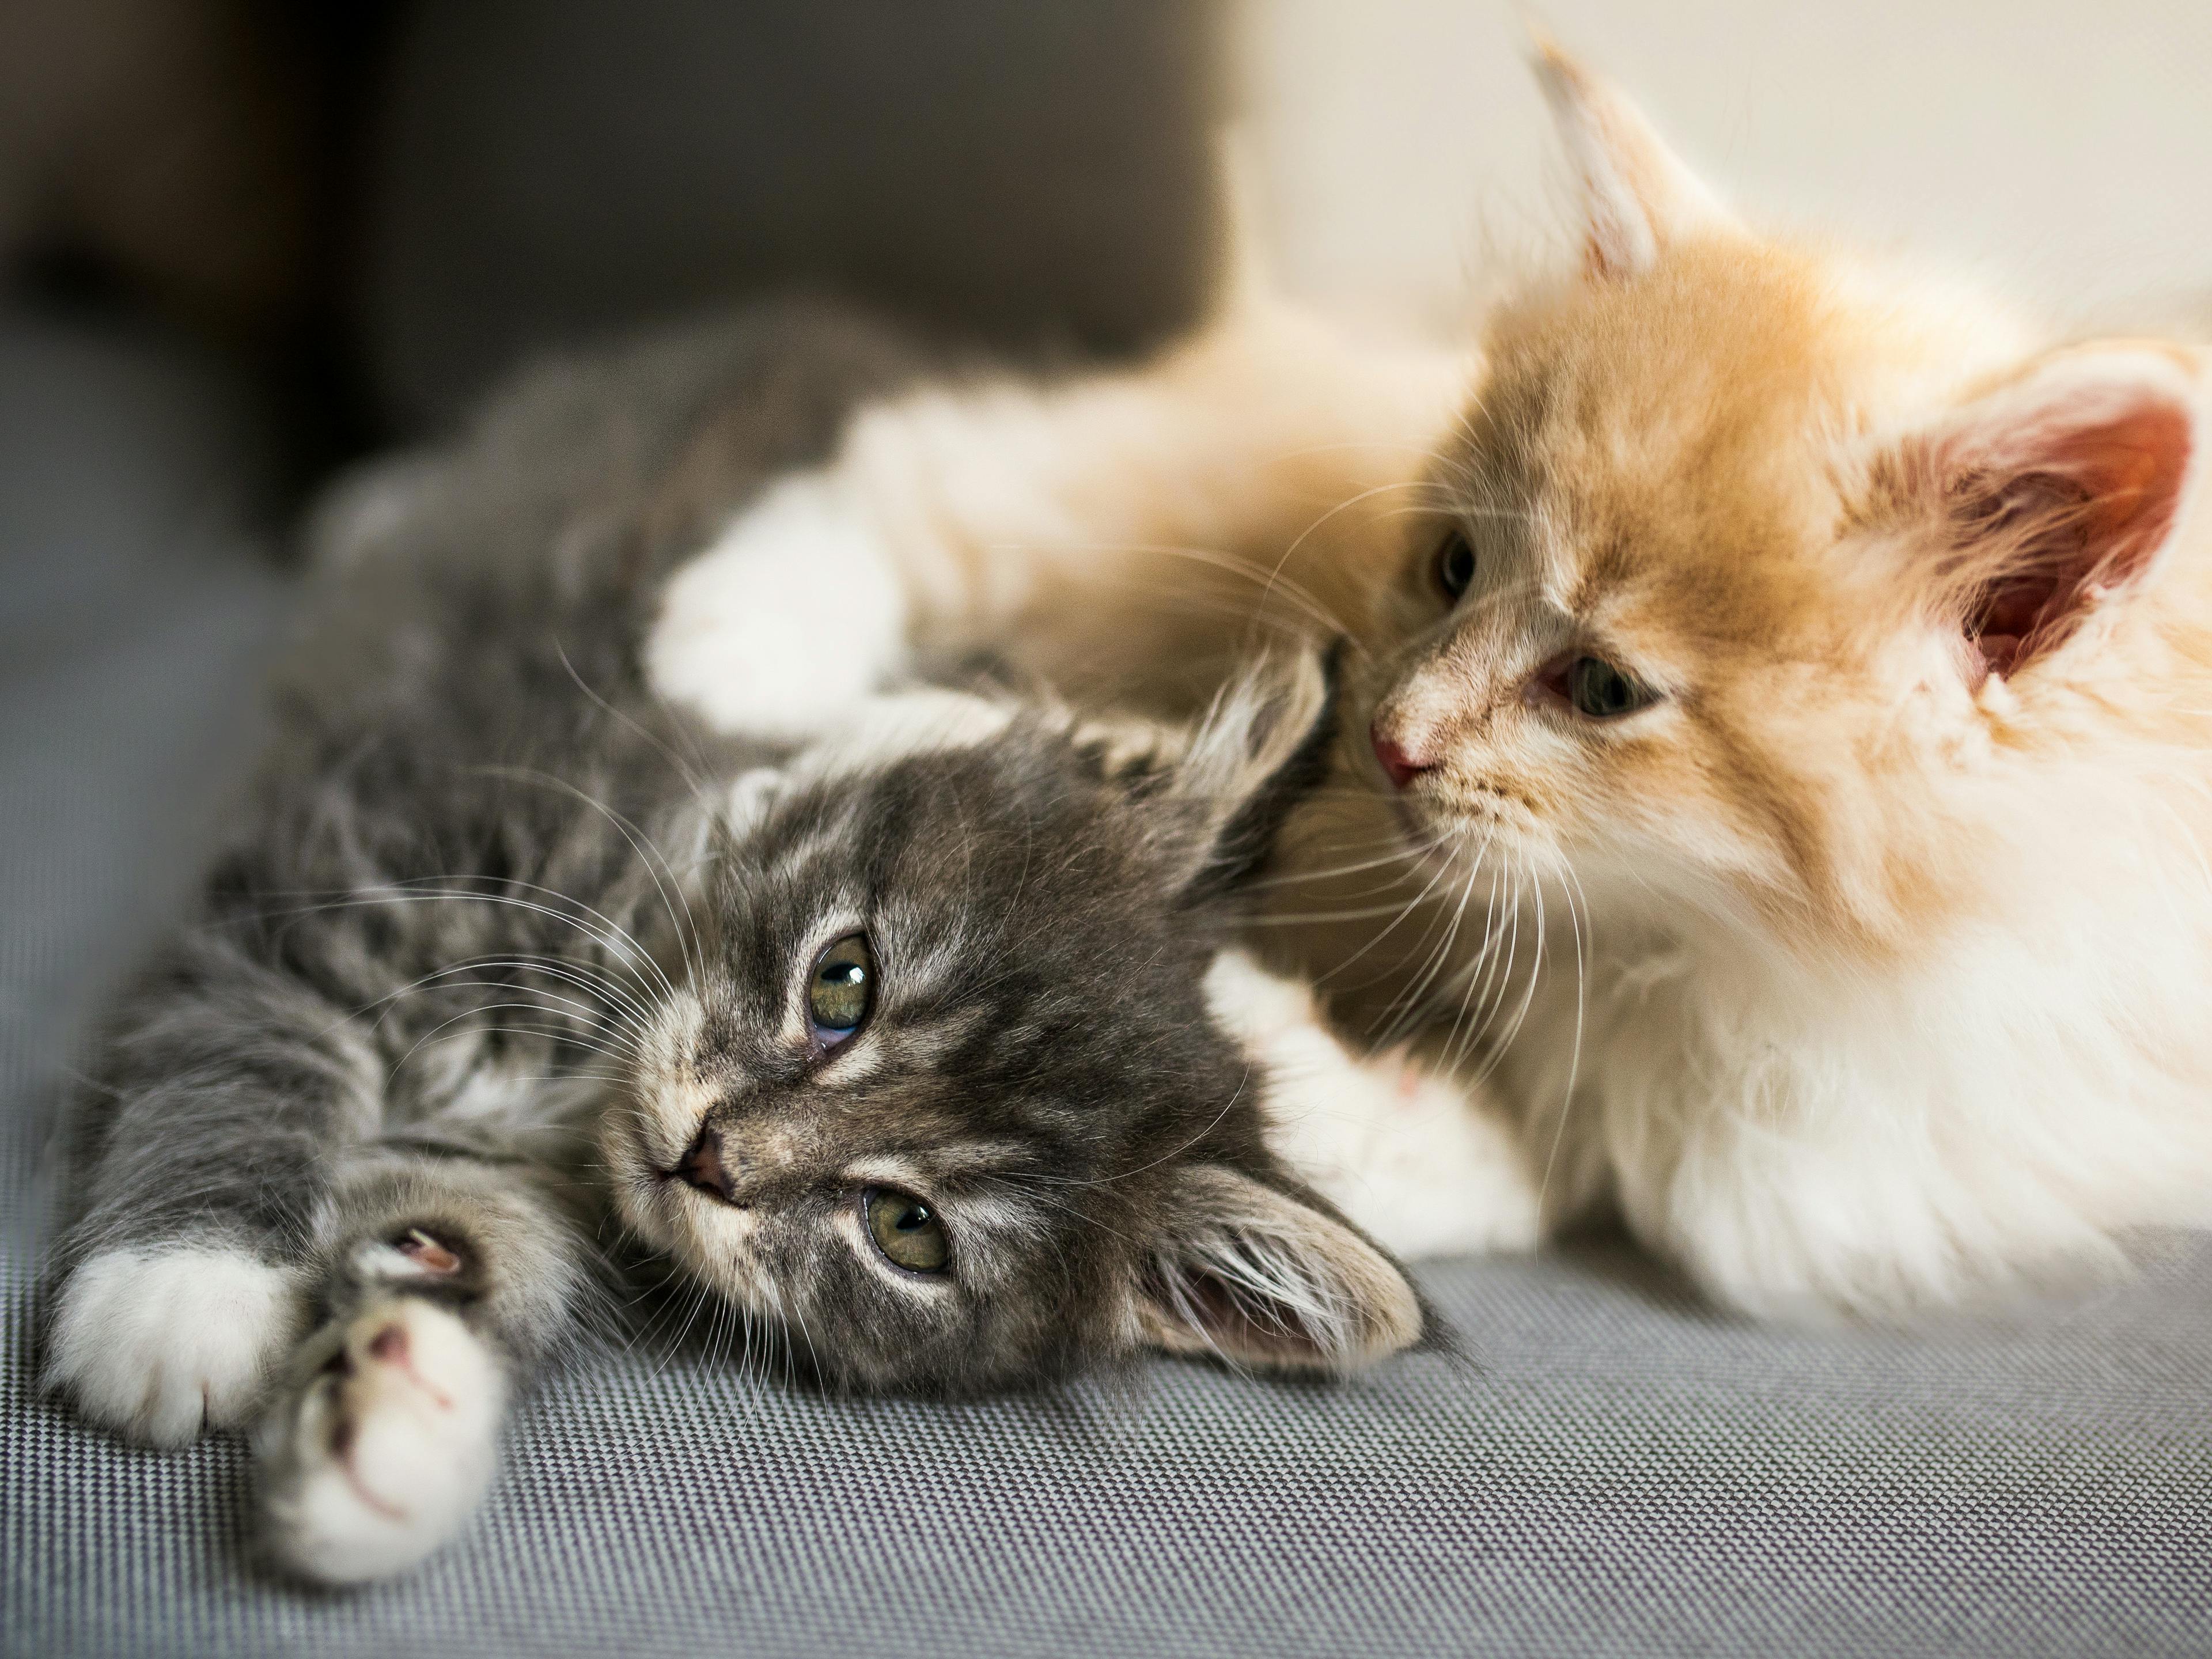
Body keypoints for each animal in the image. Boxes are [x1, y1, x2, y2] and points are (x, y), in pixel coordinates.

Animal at [43, 305, 1424, 1592]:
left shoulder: (496, 1164)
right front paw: (183, 1298)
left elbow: (466, 1244)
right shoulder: (325, 886)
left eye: (906, 1229)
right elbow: (240, 1064)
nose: (714, 1157)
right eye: (842, 981)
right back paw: (359, 510)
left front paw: (388, 1423)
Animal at [641, 55, 2212, 1327]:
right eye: (1454, 568)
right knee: (944, 466)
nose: (1391, 742)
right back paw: (741, 639)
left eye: (1601, 686)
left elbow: (1546, 1161)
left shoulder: (1803, 1131)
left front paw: (1338, 1110)